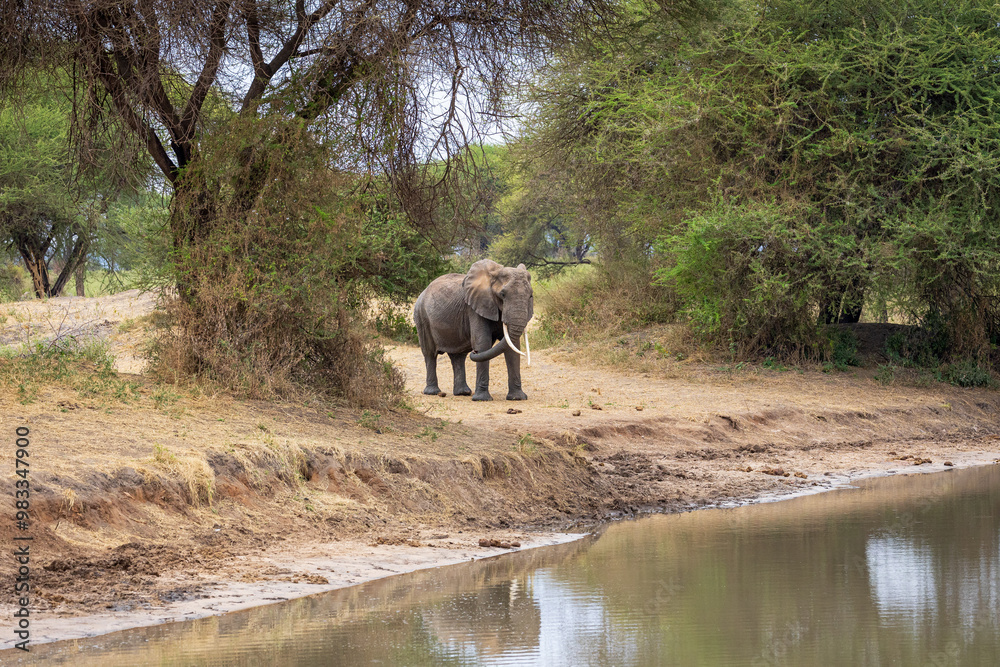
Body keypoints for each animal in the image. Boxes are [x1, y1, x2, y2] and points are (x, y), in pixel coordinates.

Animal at [413, 259, 533, 401]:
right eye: (503, 294)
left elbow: (512, 346)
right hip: (421, 316)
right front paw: (482, 399)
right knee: (430, 353)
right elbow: (483, 342)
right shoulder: (474, 308)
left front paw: (517, 398)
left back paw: (463, 392)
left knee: (458, 356)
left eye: (530, 296)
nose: (474, 352)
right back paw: (433, 392)